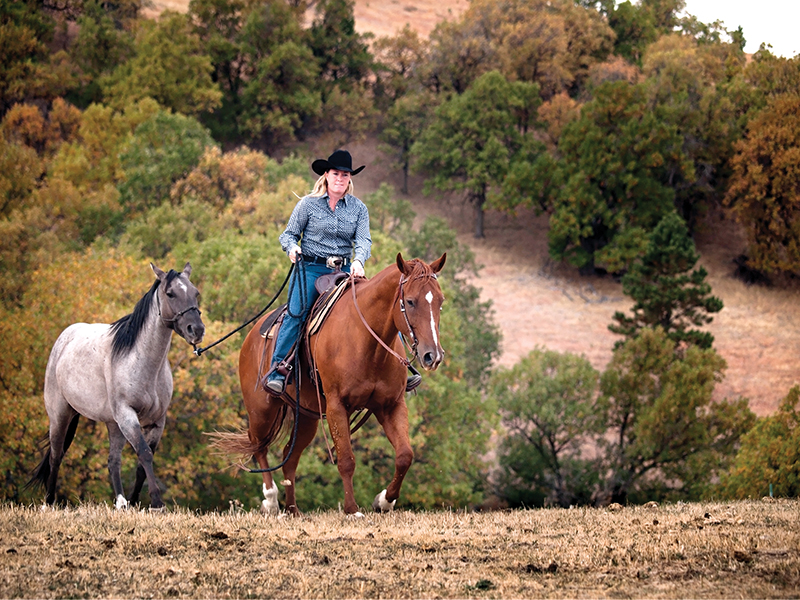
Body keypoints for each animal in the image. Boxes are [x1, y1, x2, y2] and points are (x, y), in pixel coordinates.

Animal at [27, 262, 205, 510]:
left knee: (113, 461)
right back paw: (49, 501)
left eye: (195, 293)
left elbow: (141, 464)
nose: (196, 330)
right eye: (170, 293)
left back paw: (121, 502)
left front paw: (137, 502)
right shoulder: (127, 415)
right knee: (56, 455)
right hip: (60, 415)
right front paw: (157, 502)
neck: (140, 360)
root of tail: (64, 338)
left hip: (113, 424)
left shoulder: (156, 422)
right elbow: (144, 454)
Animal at [216, 252, 446, 516]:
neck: (366, 341)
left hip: (306, 418)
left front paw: (384, 501)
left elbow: (405, 456)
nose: (432, 355)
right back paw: (271, 501)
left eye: (440, 301)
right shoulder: (337, 406)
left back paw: (292, 509)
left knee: (289, 457)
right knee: (259, 445)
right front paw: (351, 509)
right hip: (261, 409)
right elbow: (346, 460)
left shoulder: (390, 405)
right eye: (409, 301)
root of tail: (252, 335)